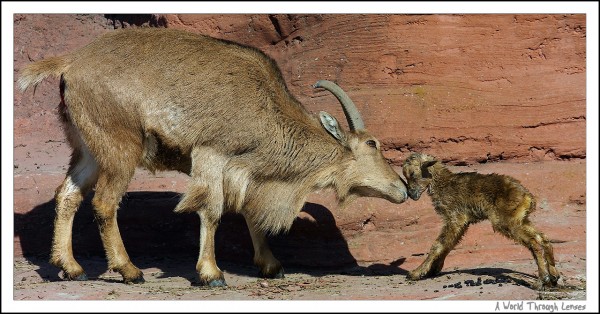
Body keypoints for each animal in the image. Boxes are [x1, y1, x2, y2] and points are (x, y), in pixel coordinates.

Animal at [21, 27, 410, 288]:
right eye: (372, 144)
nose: (404, 188)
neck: (266, 107)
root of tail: (71, 63)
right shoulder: (212, 154)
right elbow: (212, 209)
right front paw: (211, 273)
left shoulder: (244, 170)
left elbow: (249, 213)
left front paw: (271, 265)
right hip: (120, 146)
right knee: (104, 202)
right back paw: (129, 270)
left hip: (88, 148)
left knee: (67, 195)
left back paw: (72, 268)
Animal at [400, 152, 560, 288]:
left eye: (412, 174)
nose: (411, 194)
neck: (442, 184)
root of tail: (528, 197)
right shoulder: (462, 222)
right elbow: (449, 244)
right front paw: (433, 269)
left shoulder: (455, 217)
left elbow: (439, 244)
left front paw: (416, 273)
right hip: (520, 218)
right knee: (542, 238)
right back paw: (553, 276)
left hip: (505, 221)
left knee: (533, 242)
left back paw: (541, 281)